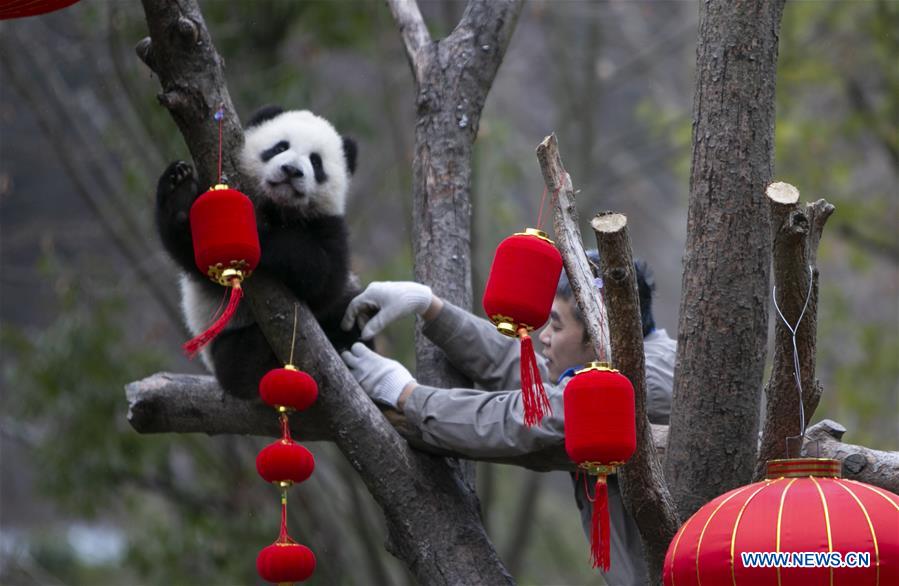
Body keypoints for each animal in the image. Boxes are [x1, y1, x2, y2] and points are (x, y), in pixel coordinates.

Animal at [155, 106, 361, 398]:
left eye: (316, 162)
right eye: (280, 147)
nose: (291, 170)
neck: (279, 209)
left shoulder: (329, 226)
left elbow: (324, 279)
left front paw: (263, 240)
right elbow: (189, 248)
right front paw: (179, 190)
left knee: (348, 314)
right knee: (240, 361)